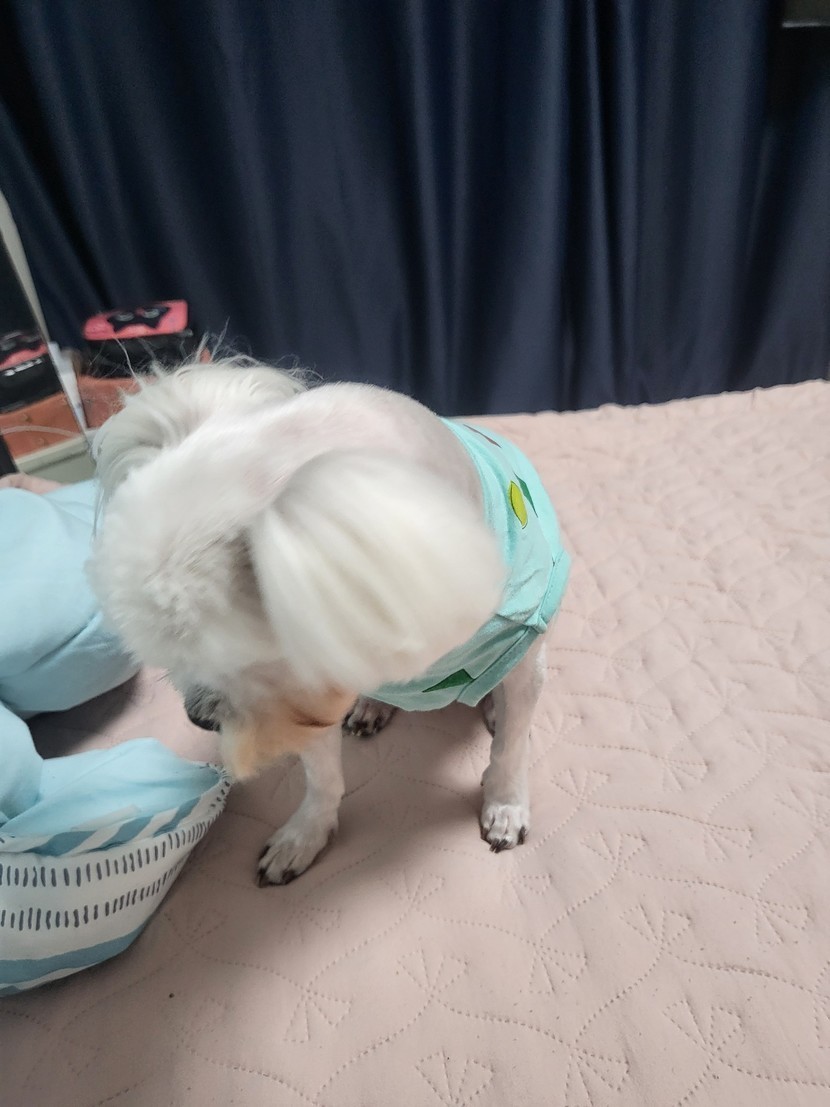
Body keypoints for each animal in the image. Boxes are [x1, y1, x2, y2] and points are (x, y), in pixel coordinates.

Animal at [89, 358, 570, 885]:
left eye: (239, 661)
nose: (199, 718)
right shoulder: (306, 697)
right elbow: (320, 778)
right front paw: (305, 835)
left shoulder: (521, 645)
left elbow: (511, 748)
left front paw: (505, 804)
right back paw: (373, 706)